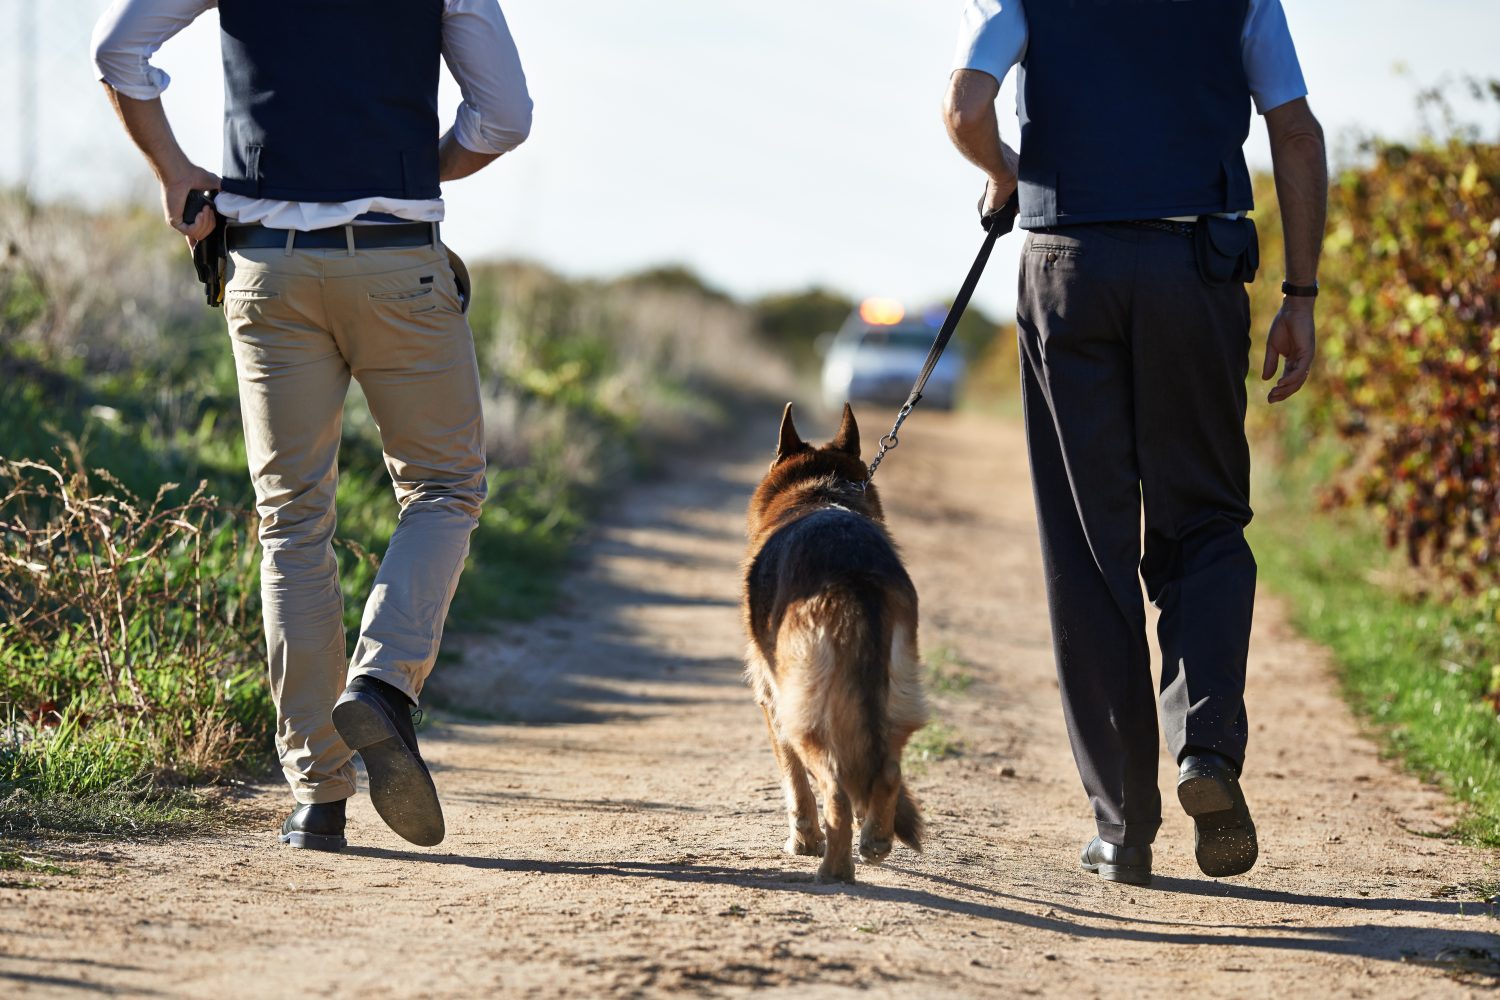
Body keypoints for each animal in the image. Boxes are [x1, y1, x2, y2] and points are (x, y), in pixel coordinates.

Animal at [744, 401, 930, 881]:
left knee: (834, 787)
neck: (819, 492)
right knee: (887, 769)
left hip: (804, 712)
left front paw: (804, 841)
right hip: (898, 694)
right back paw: (875, 840)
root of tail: (853, 573)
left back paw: (835, 867)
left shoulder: (771, 703)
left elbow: (795, 784)